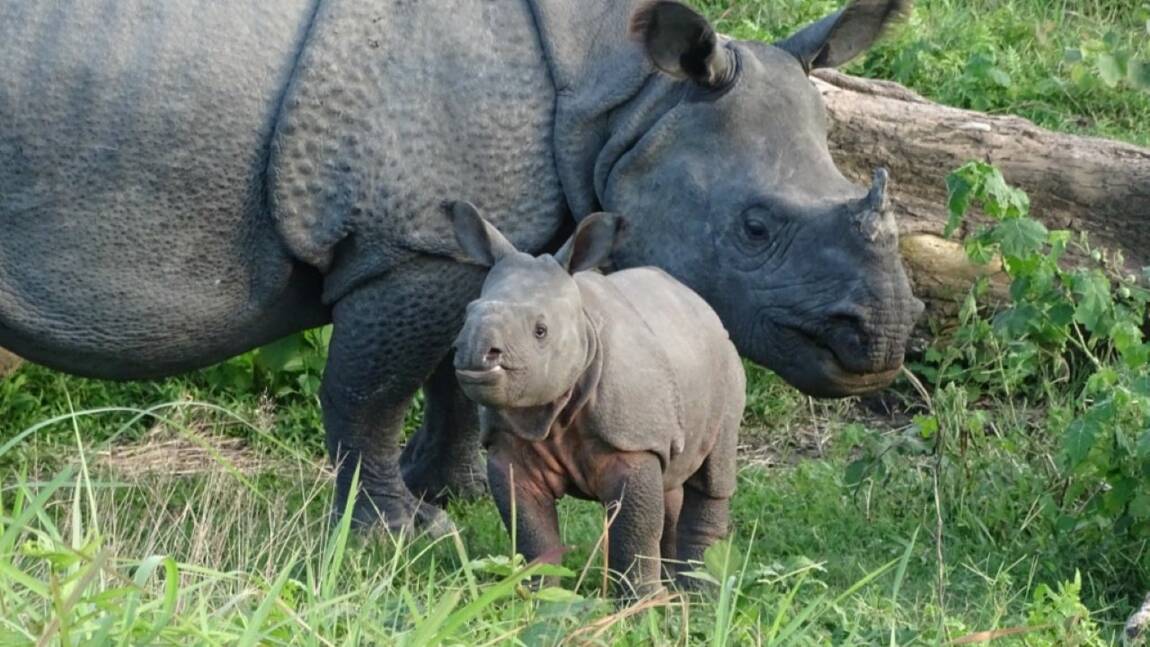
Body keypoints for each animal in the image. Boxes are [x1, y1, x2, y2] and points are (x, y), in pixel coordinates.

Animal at [443, 201, 749, 597]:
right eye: (467, 314)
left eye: (541, 331)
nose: (475, 353)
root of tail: (699, 302)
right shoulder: (509, 442)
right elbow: (530, 531)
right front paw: (540, 595)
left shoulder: (634, 442)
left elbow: (634, 531)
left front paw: (640, 603)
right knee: (671, 480)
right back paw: (678, 589)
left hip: (727, 363)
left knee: (712, 477)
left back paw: (701, 595)